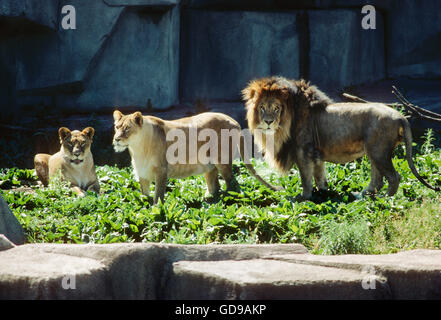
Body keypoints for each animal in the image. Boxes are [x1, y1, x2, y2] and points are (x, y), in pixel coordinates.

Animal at [111, 110, 280, 205]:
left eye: (127, 129)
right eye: (117, 127)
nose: (116, 139)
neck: (137, 147)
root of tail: (234, 121)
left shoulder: (161, 170)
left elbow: (158, 194)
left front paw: (157, 209)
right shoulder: (142, 172)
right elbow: (144, 194)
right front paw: (144, 207)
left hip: (223, 161)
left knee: (233, 184)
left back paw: (230, 201)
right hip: (209, 166)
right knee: (215, 185)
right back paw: (209, 200)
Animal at [242, 76, 438, 199]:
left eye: (276, 108)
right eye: (262, 107)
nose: (268, 122)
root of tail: (400, 116)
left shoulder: (303, 152)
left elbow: (306, 178)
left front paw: (304, 198)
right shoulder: (316, 154)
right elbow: (319, 175)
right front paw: (323, 193)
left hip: (378, 151)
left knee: (393, 177)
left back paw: (384, 199)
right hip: (374, 151)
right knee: (377, 178)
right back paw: (361, 196)